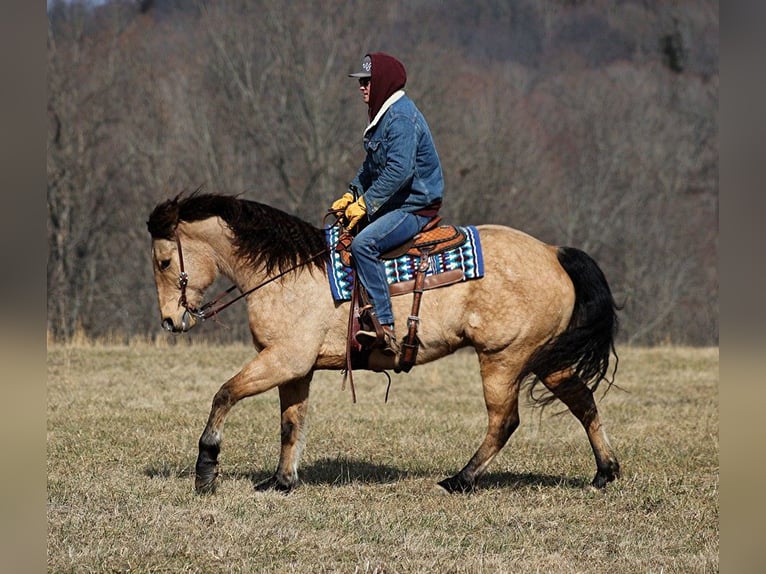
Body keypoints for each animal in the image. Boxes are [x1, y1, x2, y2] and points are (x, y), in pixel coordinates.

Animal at [147, 192, 620, 496]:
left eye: (165, 261)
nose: (170, 320)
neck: (288, 272)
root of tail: (554, 252)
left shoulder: (282, 359)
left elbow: (224, 394)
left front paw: (206, 469)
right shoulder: (296, 368)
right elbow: (291, 423)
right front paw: (281, 482)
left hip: (503, 359)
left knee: (505, 421)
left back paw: (460, 480)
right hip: (545, 359)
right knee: (583, 402)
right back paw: (605, 472)